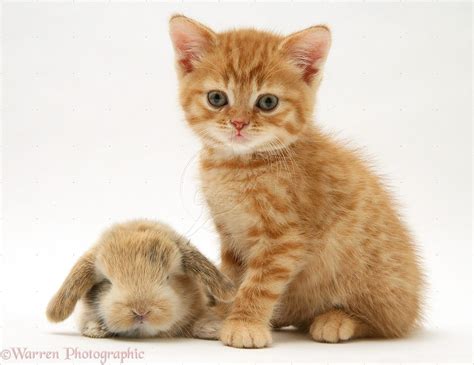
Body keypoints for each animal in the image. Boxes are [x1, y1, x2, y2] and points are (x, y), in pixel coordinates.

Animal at [169, 15, 422, 346]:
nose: (238, 123)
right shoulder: (231, 236)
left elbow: (258, 285)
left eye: (267, 102)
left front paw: (244, 324)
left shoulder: (284, 240)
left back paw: (336, 320)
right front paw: (222, 316)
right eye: (216, 98)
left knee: (386, 324)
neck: (239, 165)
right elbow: (232, 279)